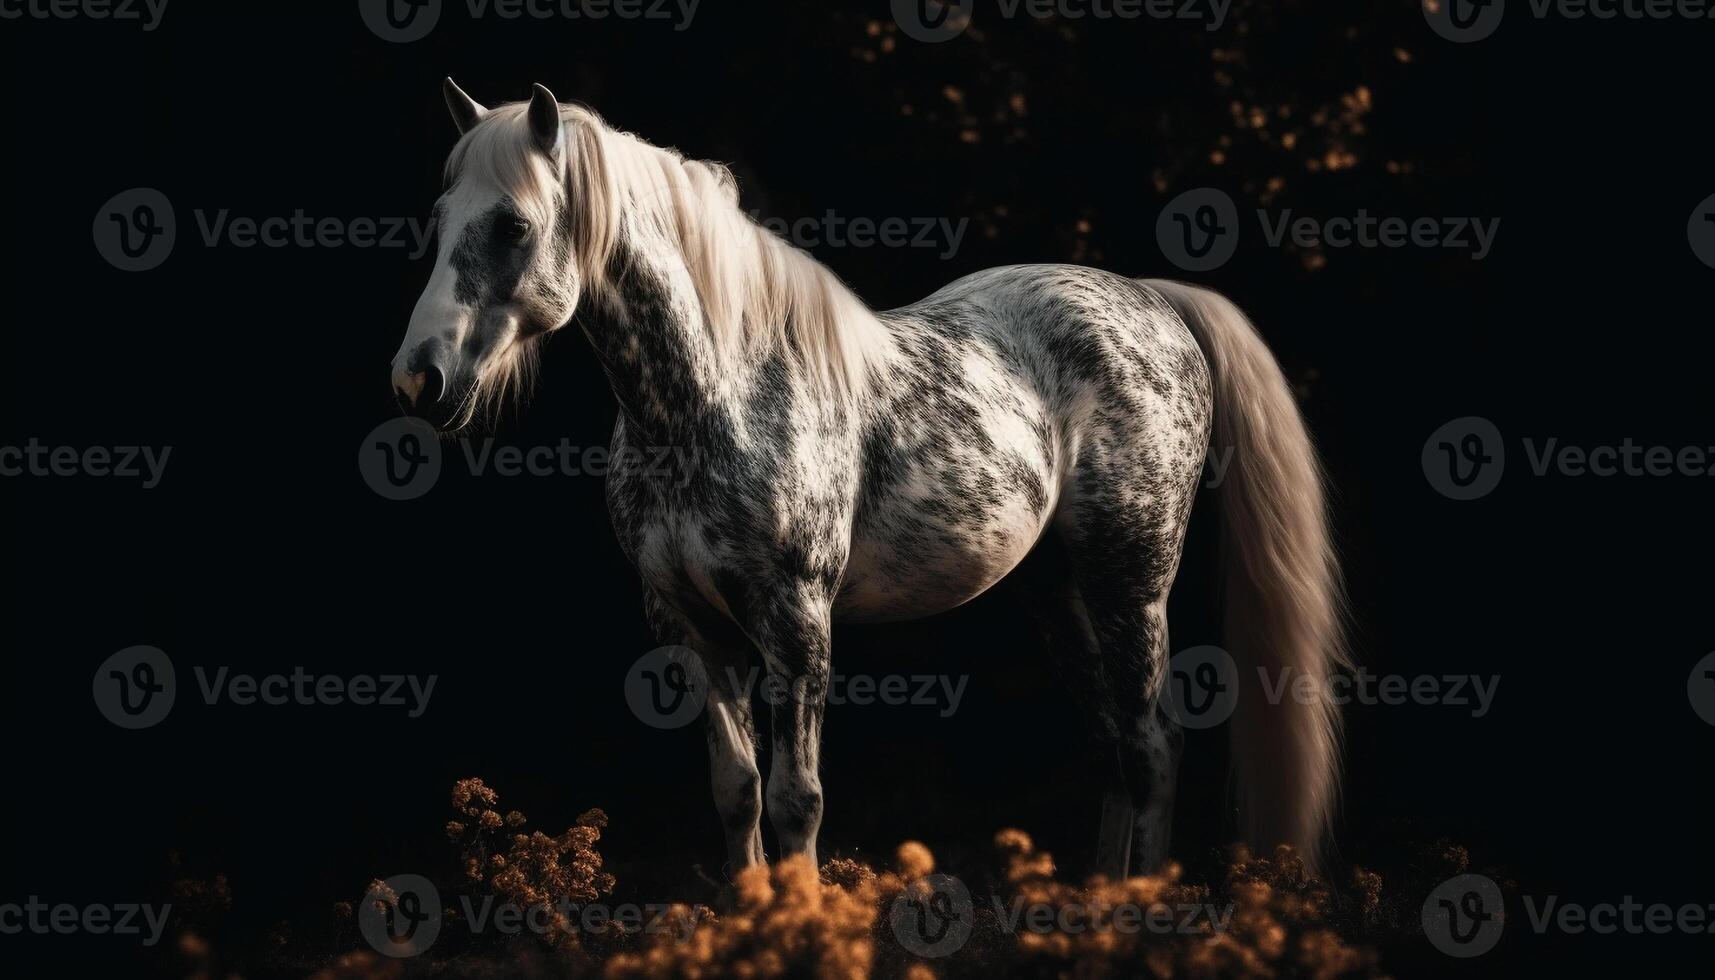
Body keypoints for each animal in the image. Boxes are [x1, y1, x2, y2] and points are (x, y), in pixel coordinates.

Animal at [392, 80, 1351, 878]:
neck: (716, 395)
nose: (418, 379)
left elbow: (796, 801)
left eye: (513, 225)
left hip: (1131, 581)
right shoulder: (691, 625)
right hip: (1054, 590)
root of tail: (1152, 300)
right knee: (1114, 745)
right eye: (439, 220)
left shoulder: (796, 621)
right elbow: (736, 791)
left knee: (1153, 746)